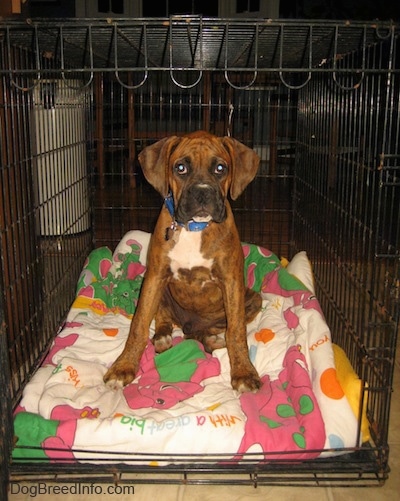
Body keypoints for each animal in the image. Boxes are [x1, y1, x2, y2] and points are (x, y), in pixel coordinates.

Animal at [104, 131, 262, 392]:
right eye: (181, 168)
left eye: (220, 168)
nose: (202, 192)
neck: (194, 228)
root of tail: (189, 327)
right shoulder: (155, 277)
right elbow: (138, 325)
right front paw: (123, 367)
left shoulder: (231, 282)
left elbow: (237, 331)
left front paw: (243, 372)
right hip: (156, 289)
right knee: (163, 318)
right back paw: (162, 337)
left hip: (252, 298)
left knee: (215, 330)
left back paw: (212, 338)